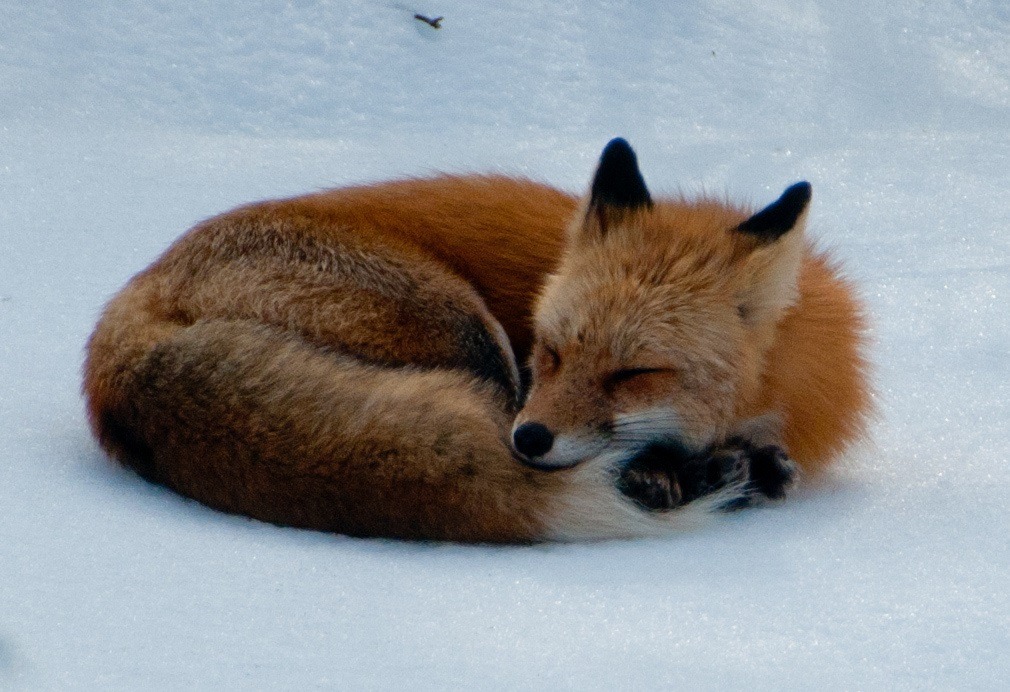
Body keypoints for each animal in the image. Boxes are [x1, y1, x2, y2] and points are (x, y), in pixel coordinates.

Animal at [82, 136, 868, 541]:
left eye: (632, 373)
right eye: (550, 352)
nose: (531, 439)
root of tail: (131, 300)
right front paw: (684, 473)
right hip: (465, 335)